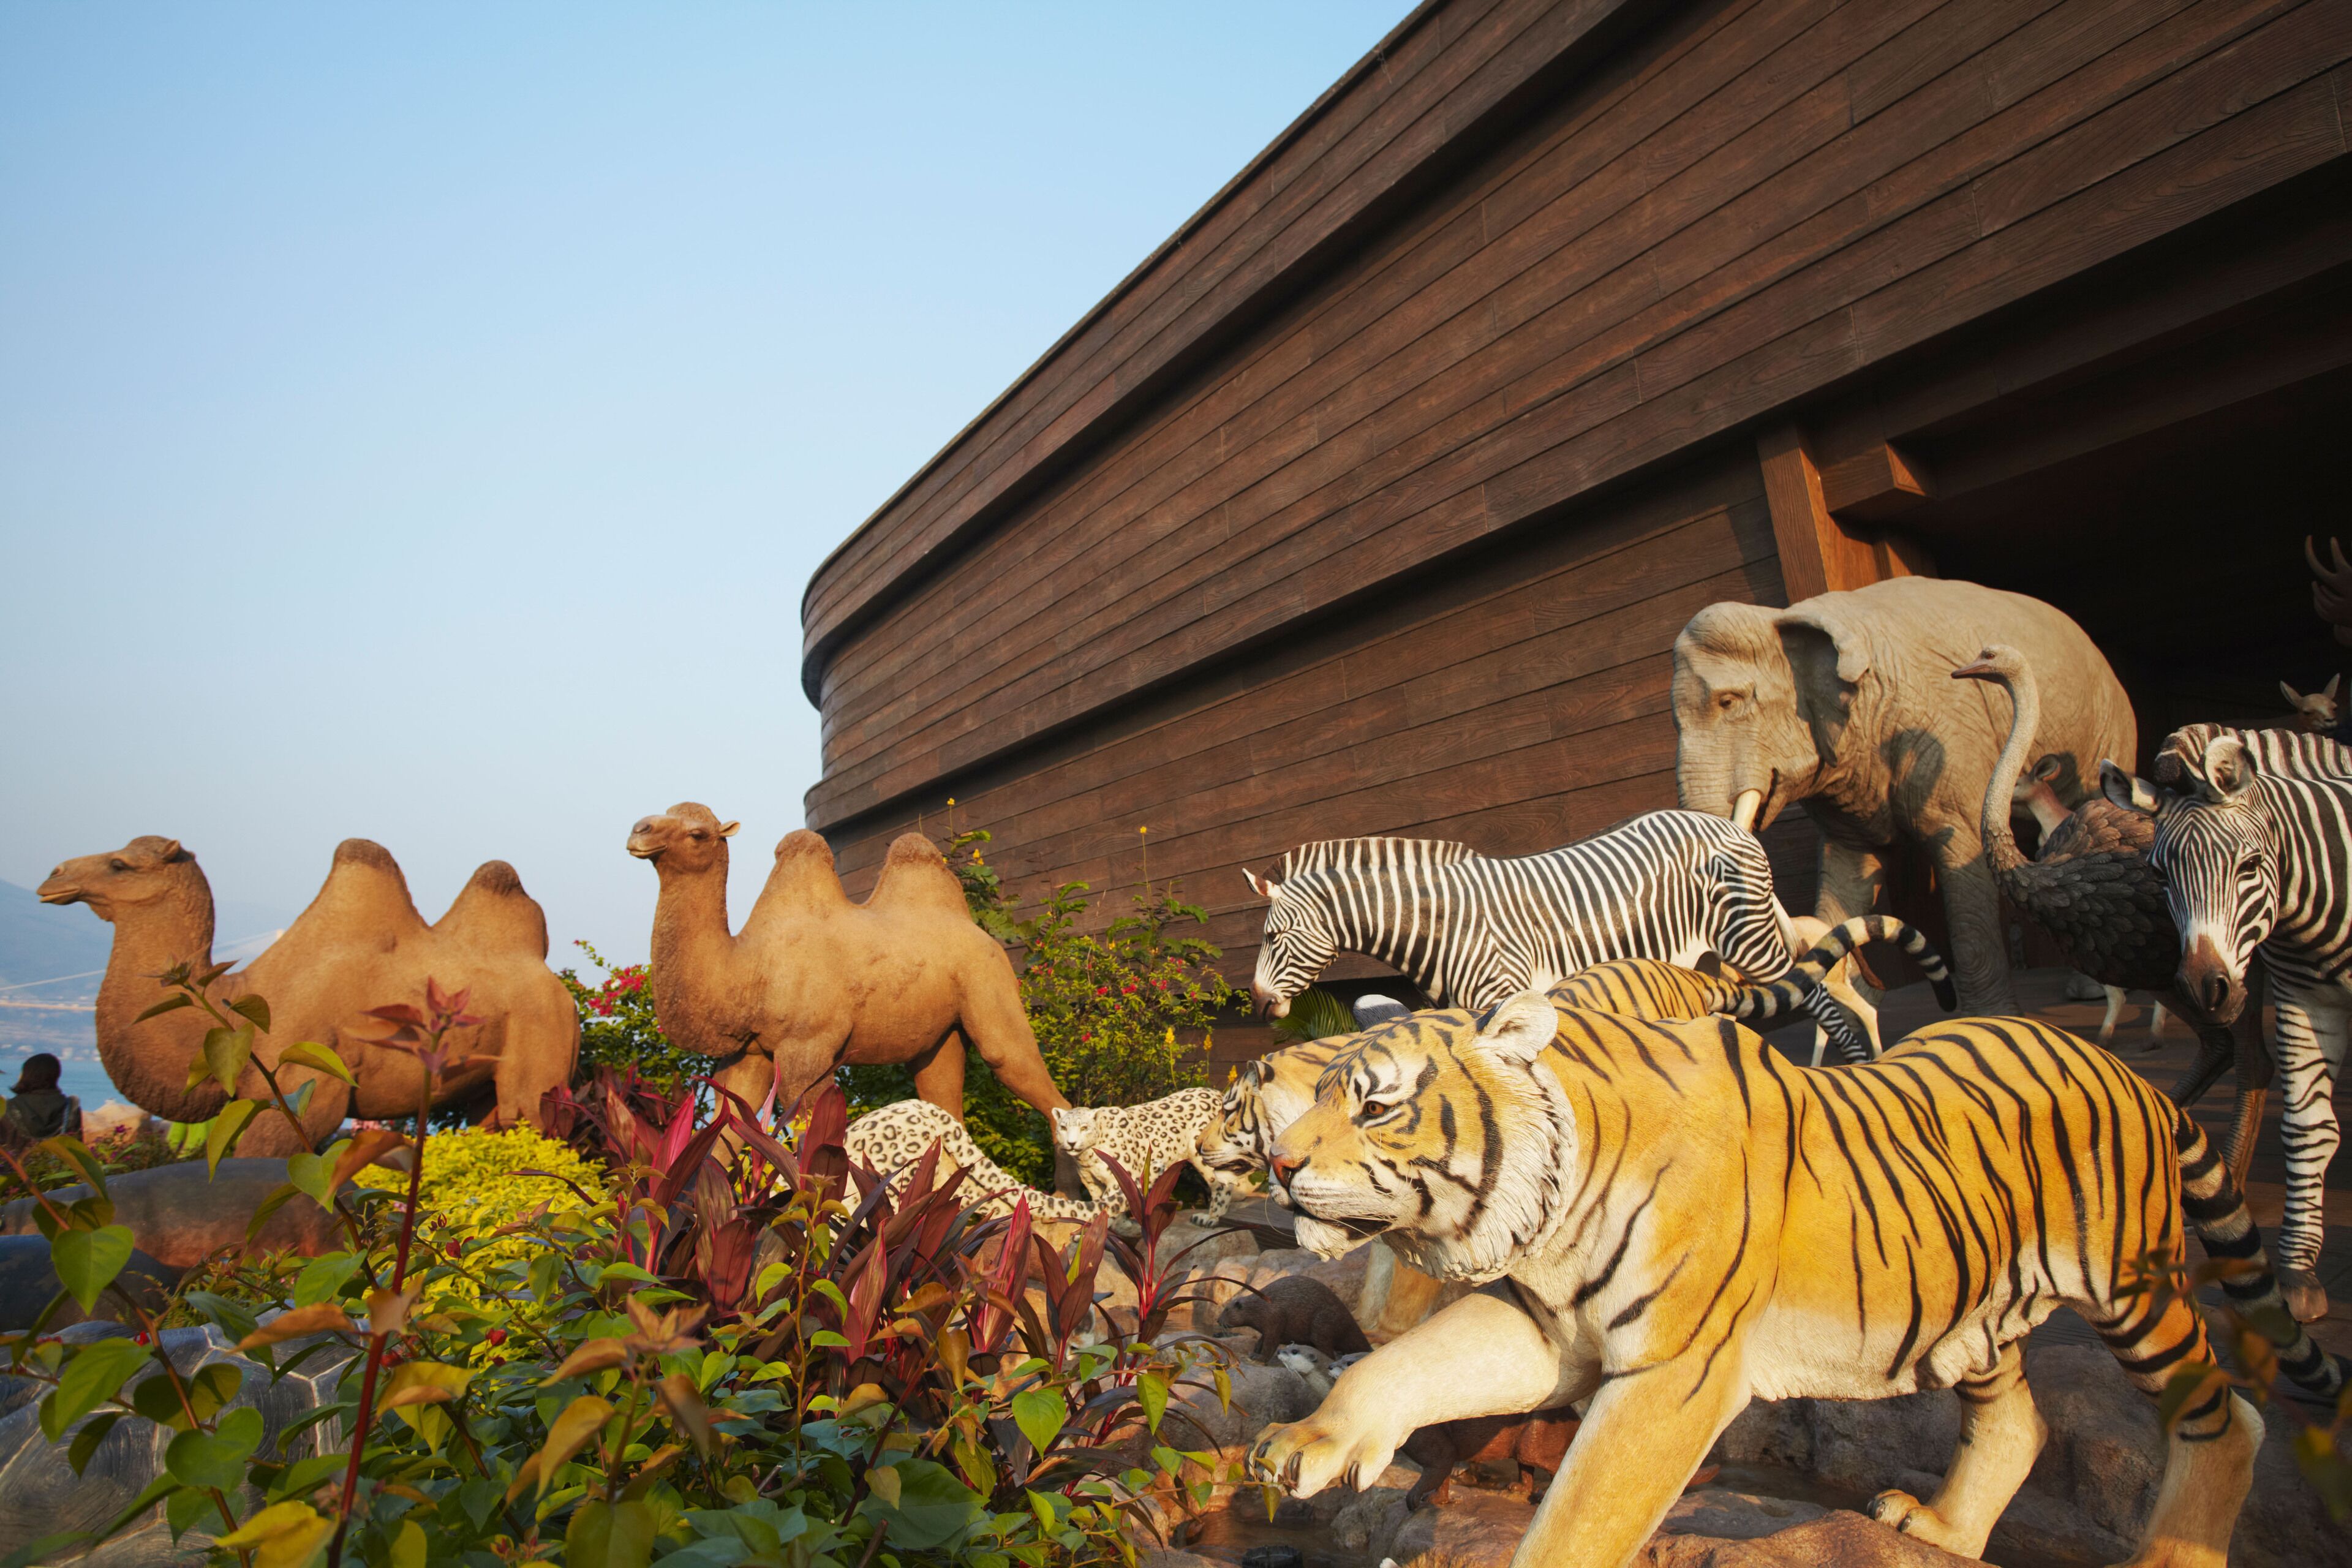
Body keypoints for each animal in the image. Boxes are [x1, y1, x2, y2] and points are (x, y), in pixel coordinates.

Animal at [1248, 998, 2348, 1568]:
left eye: (1377, 1106)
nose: (1281, 1167)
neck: (1546, 1208)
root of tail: (2138, 1079)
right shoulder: (1546, 1326)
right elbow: (1406, 1367)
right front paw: (1312, 1444)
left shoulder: (1675, 1372)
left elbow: (1582, 1514)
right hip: (1970, 1310)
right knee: (2019, 1420)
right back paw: (1942, 1529)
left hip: (2131, 1286)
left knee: (2227, 1418)